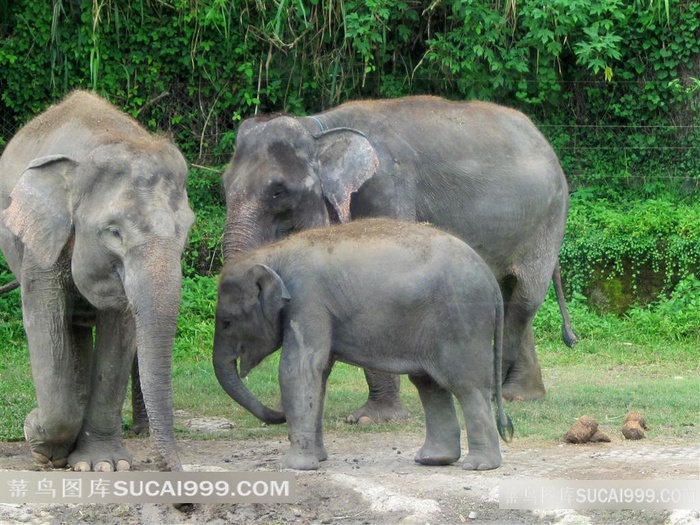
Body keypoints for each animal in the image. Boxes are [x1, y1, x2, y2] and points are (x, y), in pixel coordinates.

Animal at [0, 90, 194, 470]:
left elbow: (119, 333)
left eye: (185, 231)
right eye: (113, 232)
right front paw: (37, 435)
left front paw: (103, 464)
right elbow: (44, 322)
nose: (174, 470)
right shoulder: (42, 246)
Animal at [213, 218, 516, 470]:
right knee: (429, 384)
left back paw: (479, 466)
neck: (273, 253)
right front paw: (318, 459)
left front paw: (295, 467)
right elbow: (319, 374)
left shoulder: (306, 300)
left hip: (461, 320)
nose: (277, 413)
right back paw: (434, 459)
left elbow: (298, 369)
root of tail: (492, 282)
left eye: (227, 322)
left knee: (466, 385)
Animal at [223, 95, 576, 422]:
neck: (319, 129)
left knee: (525, 298)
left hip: (549, 219)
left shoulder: (387, 191)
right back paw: (520, 394)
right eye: (223, 186)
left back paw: (494, 393)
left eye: (278, 191)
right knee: (509, 294)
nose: (276, 412)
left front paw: (372, 418)